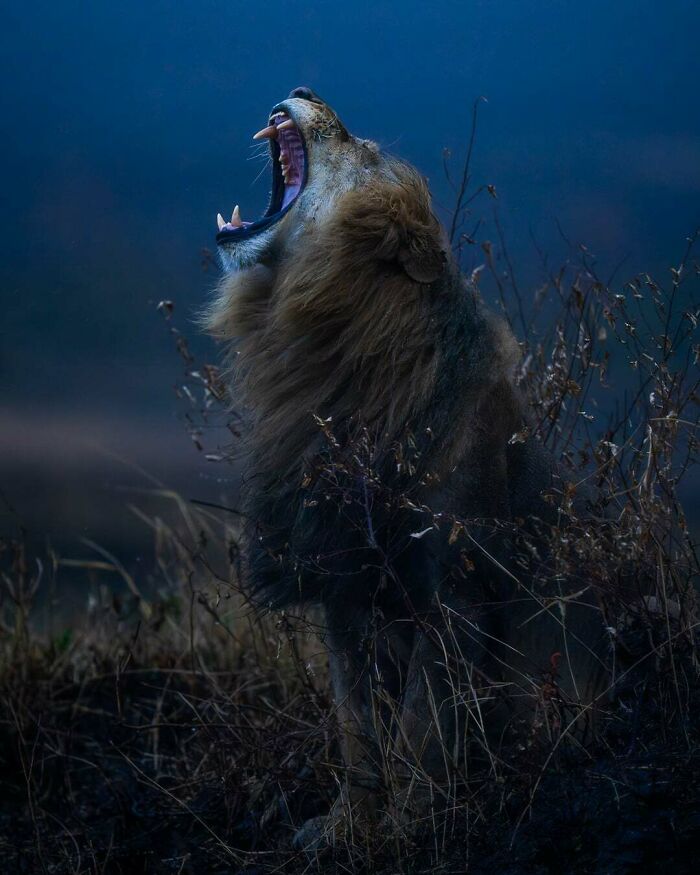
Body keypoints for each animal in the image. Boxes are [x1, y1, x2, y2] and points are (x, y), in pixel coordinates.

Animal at [205, 87, 610, 847]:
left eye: (359, 145)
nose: (307, 89)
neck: (327, 341)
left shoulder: (451, 597)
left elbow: (419, 732)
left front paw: (406, 828)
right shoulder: (342, 585)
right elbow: (357, 730)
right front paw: (345, 828)